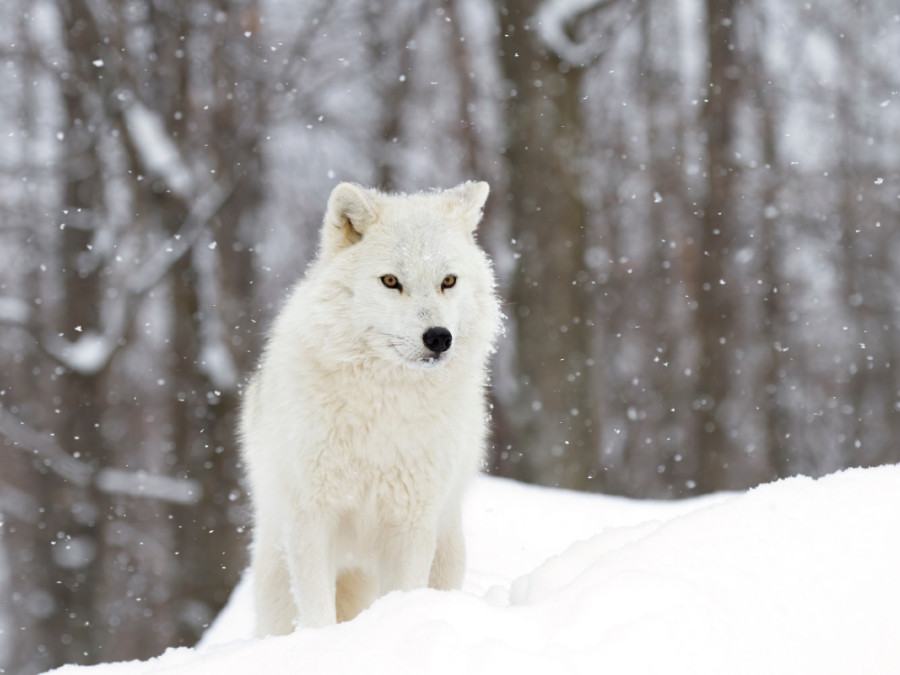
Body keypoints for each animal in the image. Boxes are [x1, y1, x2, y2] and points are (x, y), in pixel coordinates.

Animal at [239, 180, 500, 632]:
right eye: (391, 281)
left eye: (448, 280)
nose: (438, 337)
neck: (384, 403)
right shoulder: (312, 519)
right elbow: (318, 613)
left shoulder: (412, 524)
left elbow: (406, 594)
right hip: (276, 572)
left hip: (446, 550)